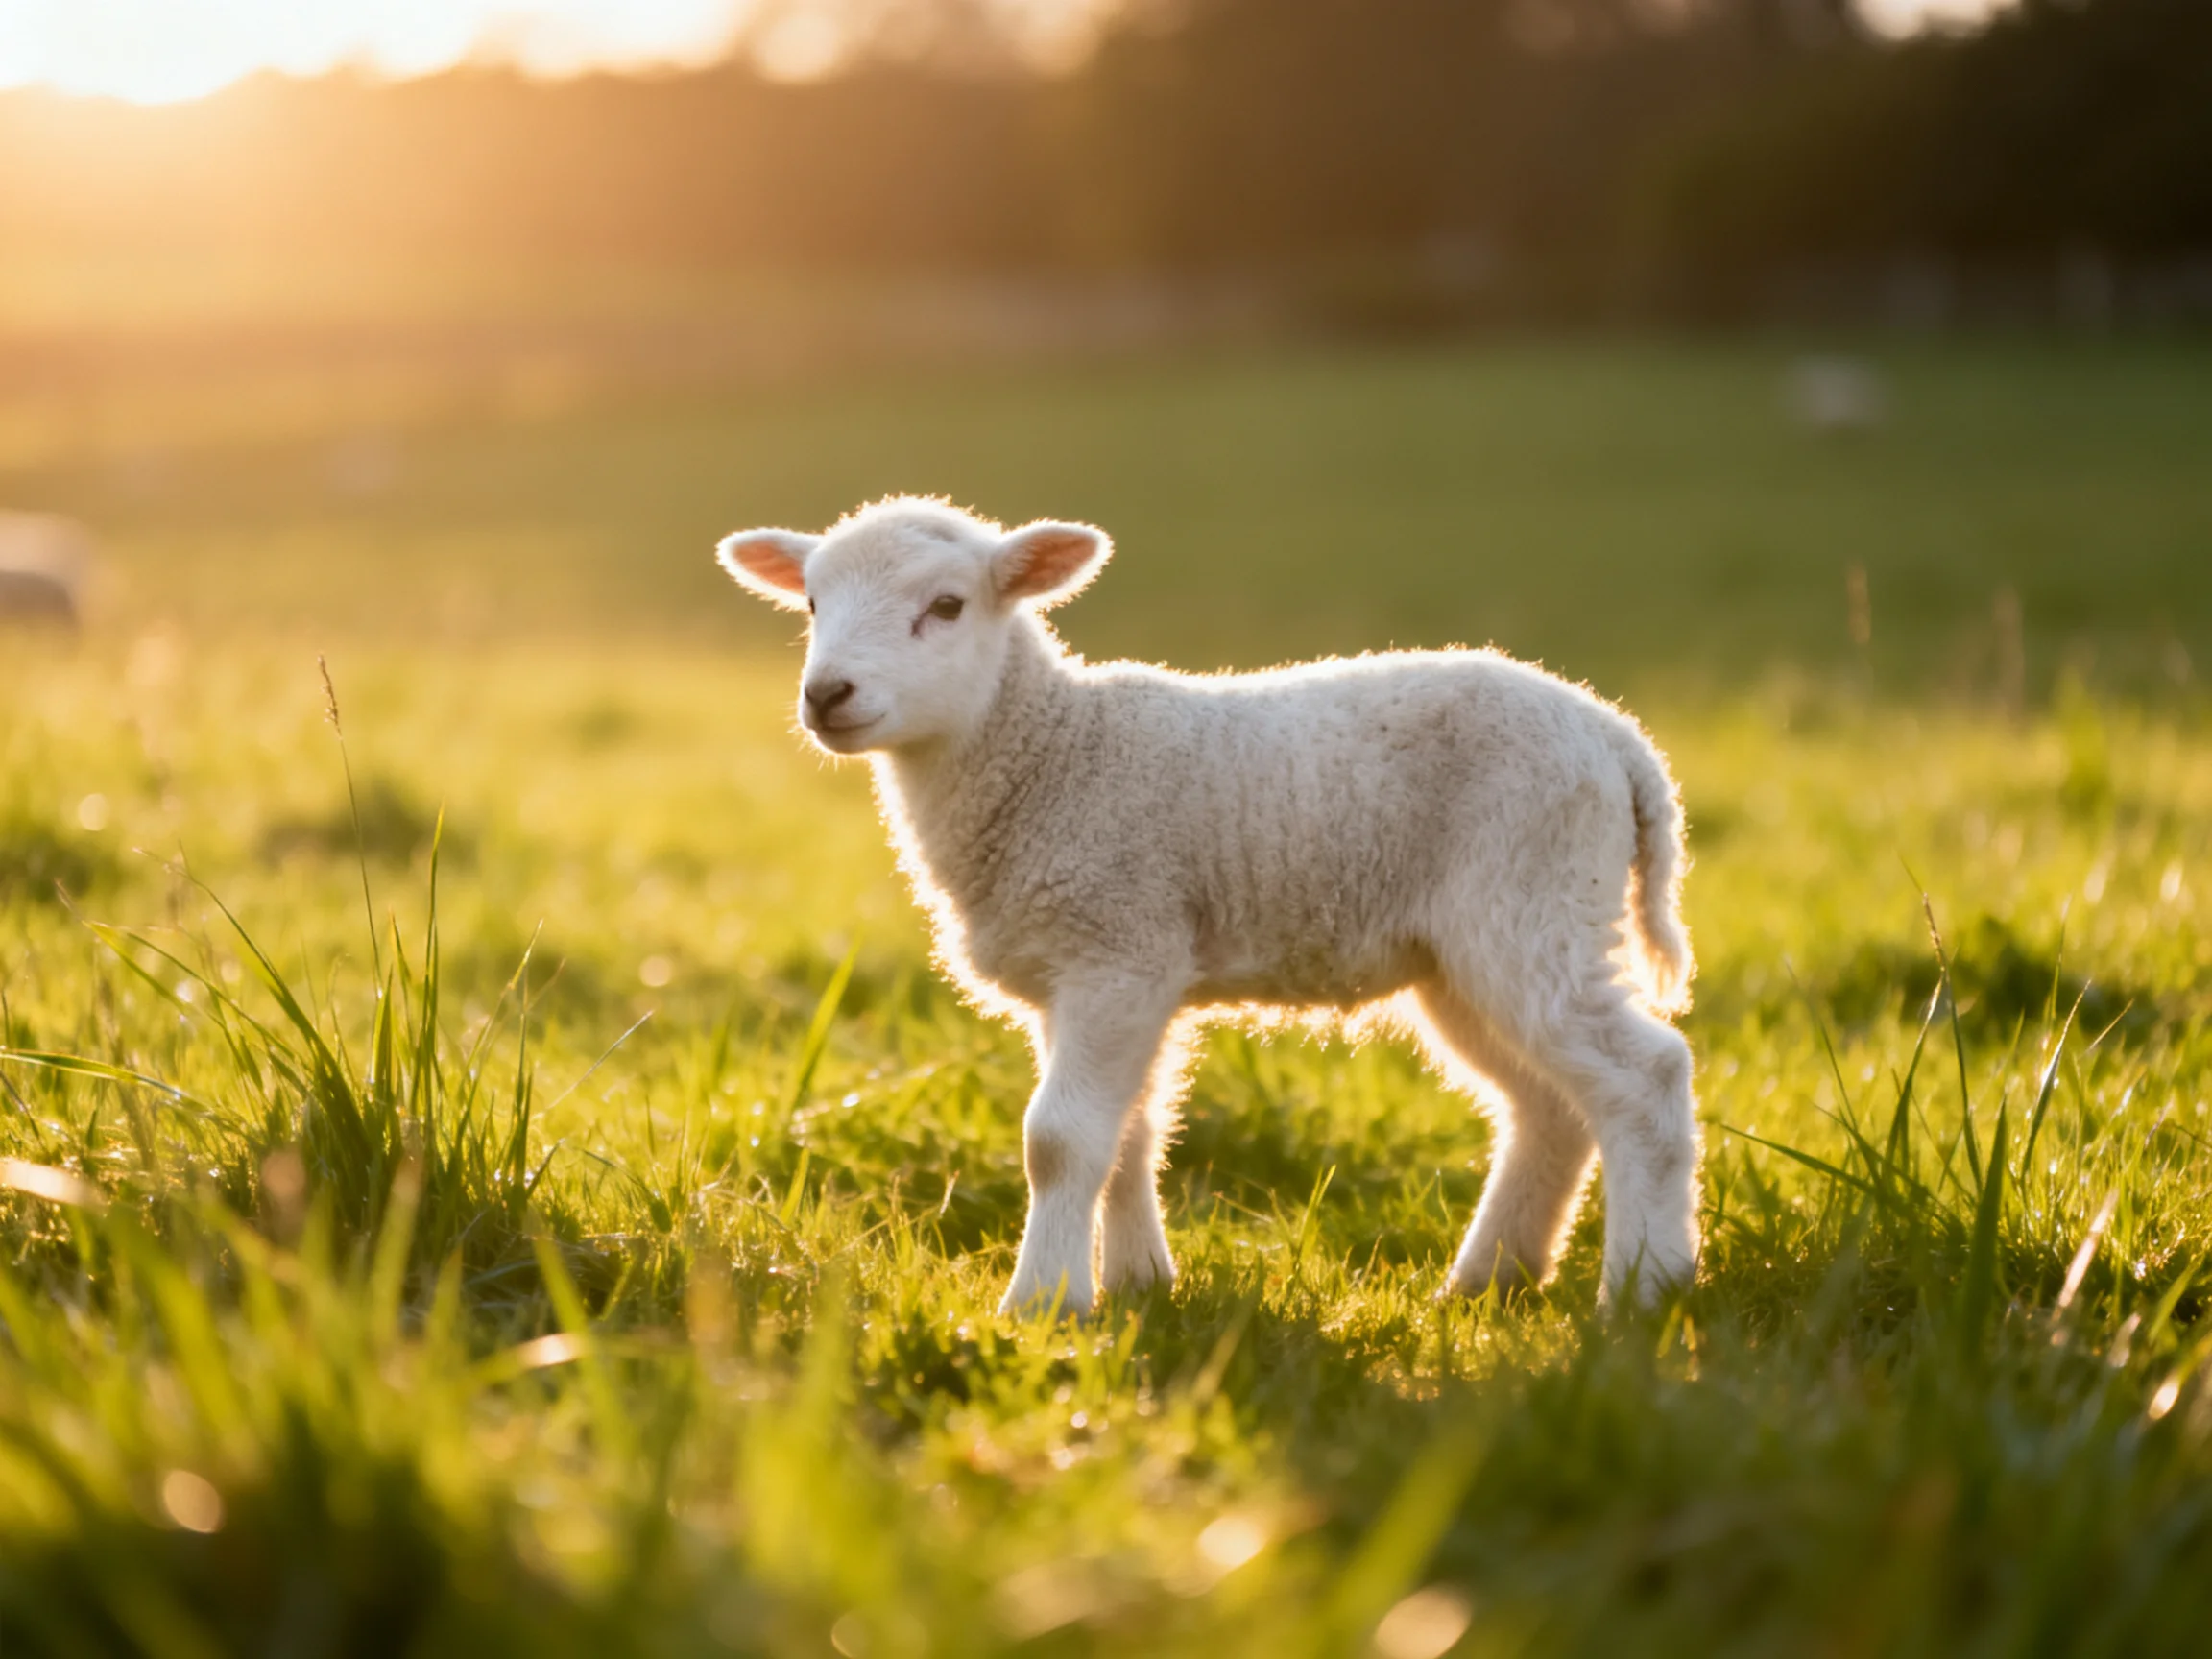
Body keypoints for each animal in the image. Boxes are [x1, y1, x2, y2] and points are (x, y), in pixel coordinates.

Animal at [718, 497, 1699, 1315]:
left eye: (949, 606)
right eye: (812, 605)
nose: (827, 695)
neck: (1049, 752)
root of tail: (1620, 741)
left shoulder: (1118, 948)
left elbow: (1059, 1139)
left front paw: (1044, 1304)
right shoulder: (1096, 970)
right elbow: (1128, 1134)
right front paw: (1139, 1284)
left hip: (1533, 898)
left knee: (1644, 1076)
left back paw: (1647, 1288)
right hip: (1468, 953)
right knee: (1550, 1110)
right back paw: (1488, 1280)